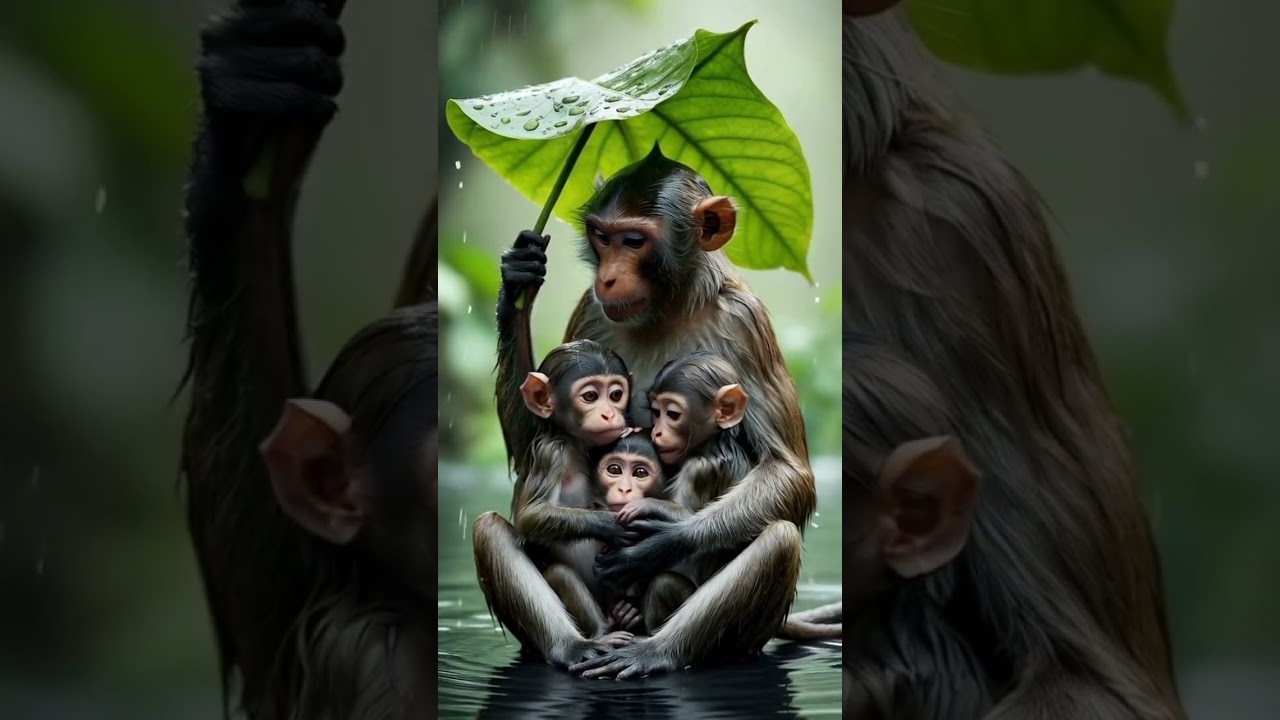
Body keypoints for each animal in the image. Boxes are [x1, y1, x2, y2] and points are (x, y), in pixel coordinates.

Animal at [482, 141, 815, 679]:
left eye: (634, 241)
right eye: (602, 237)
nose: (608, 276)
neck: (669, 307)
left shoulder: (745, 320)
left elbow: (790, 472)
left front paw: (664, 536)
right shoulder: (591, 308)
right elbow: (531, 446)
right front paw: (516, 284)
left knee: (780, 537)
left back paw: (659, 651)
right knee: (491, 528)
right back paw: (574, 646)